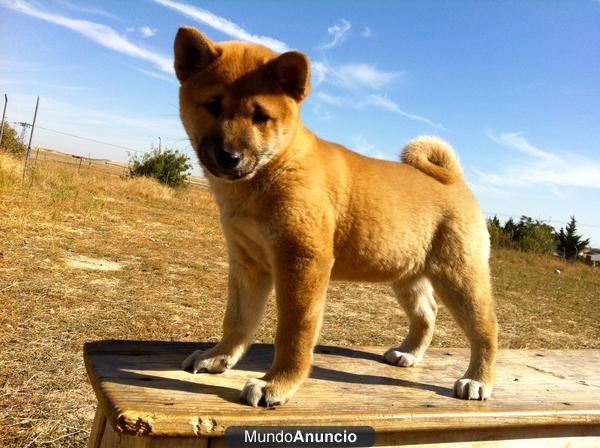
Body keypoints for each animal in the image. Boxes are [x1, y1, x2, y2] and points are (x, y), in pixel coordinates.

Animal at [173, 26, 496, 408]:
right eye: (212, 105)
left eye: (260, 116)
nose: (229, 156)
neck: (276, 168)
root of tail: (456, 181)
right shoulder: (248, 264)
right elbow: (237, 320)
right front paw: (218, 357)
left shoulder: (302, 261)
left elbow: (293, 332)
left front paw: (277, 384)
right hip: (408, 275)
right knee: (426, 315)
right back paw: (409, 354)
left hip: (459, 277)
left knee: (486, 328)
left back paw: (478, 380)